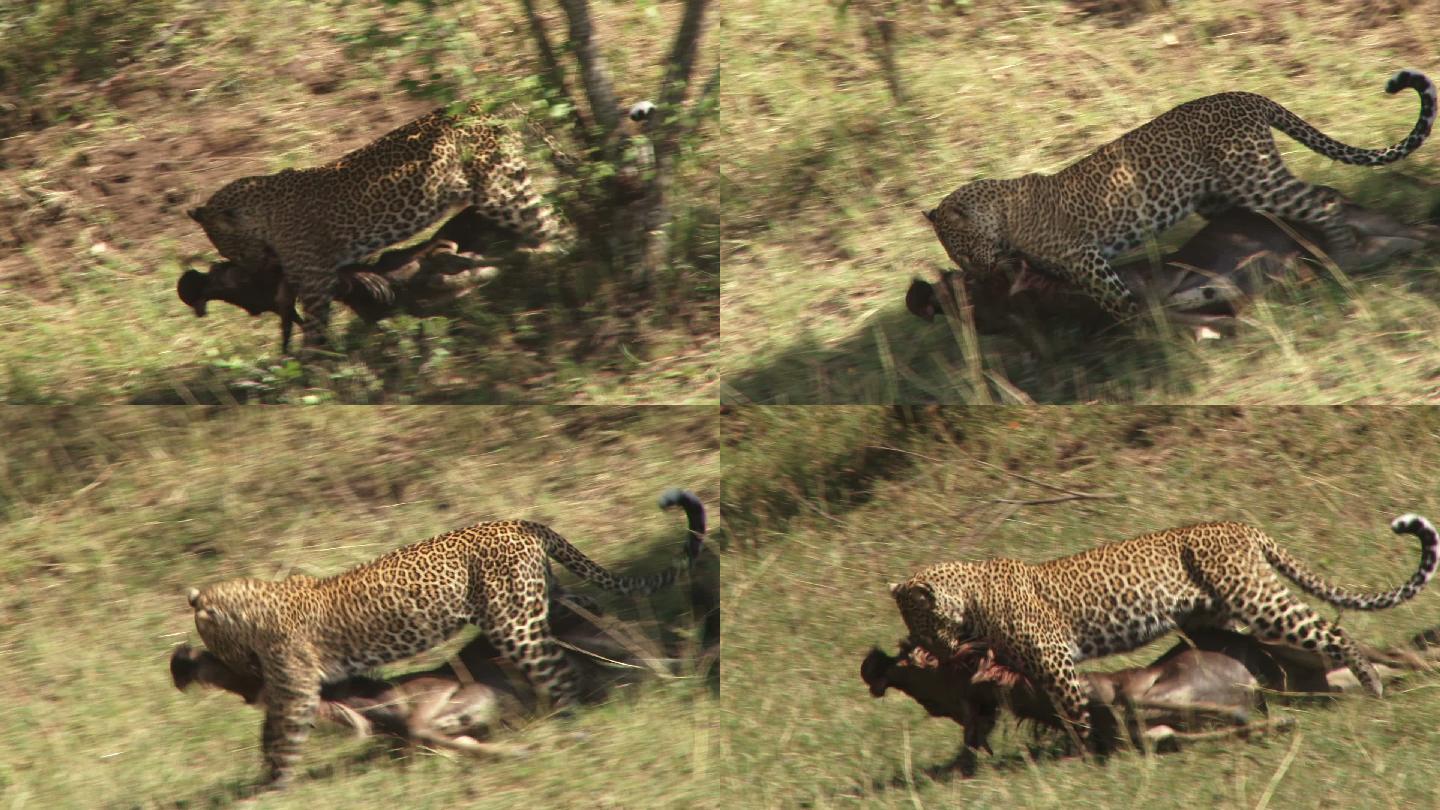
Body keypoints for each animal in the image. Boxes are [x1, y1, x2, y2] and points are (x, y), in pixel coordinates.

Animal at [185, 97, 555, 347]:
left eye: (231, 248)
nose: (249, 269)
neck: (266, 212)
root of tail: (485, 104)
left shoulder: (316, 280)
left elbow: (315, 330)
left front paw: (315, 370)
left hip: (501, 191)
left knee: (551, 223)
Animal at [188, 484, 705, 789]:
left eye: (213, 644)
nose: (236, 668)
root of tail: (523, 523)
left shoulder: (296, 686)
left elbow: (285, 732)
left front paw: (272, 786)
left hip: (514, 625)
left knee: (559, 674)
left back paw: (568, 719)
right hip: (542, 601)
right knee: (596, 617)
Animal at [892, 513, 1434, 743]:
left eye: (925, 629)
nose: (932, 651)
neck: (971, 600)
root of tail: (1240, 526)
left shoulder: (1055, 661)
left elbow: (1073, 713)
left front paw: (1081, 752)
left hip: (1259, 600)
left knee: (1336, 635)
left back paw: (1374, 686)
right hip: (1224, 621)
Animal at [927, 69, 1434, 319]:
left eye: (962, 250)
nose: (974, 274)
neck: (1003, 217)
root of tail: (1245, 96)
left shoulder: (1084, 257)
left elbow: (1116, 298)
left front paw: (1145, 323)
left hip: (1255, 177)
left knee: (1323, 201)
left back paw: (1344, 260)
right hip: (1223, 197)